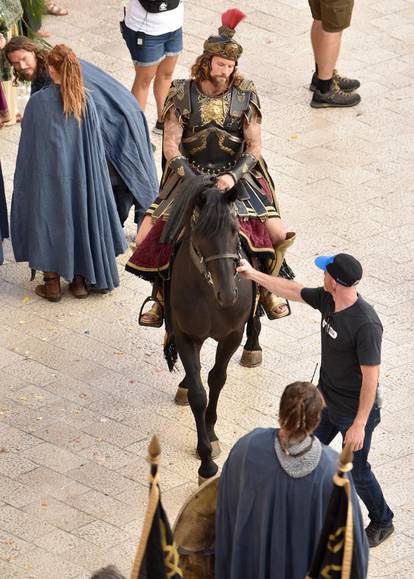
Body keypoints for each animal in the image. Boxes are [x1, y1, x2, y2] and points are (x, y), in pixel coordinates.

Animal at [160, 179, 260, 482]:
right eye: (200, 233)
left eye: (234, 229)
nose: (228, 294)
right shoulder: (186, 336)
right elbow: (198, 393)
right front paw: (205, 461)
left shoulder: (232, 335)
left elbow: (217, 379)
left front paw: (212, 434)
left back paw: (254, 346)